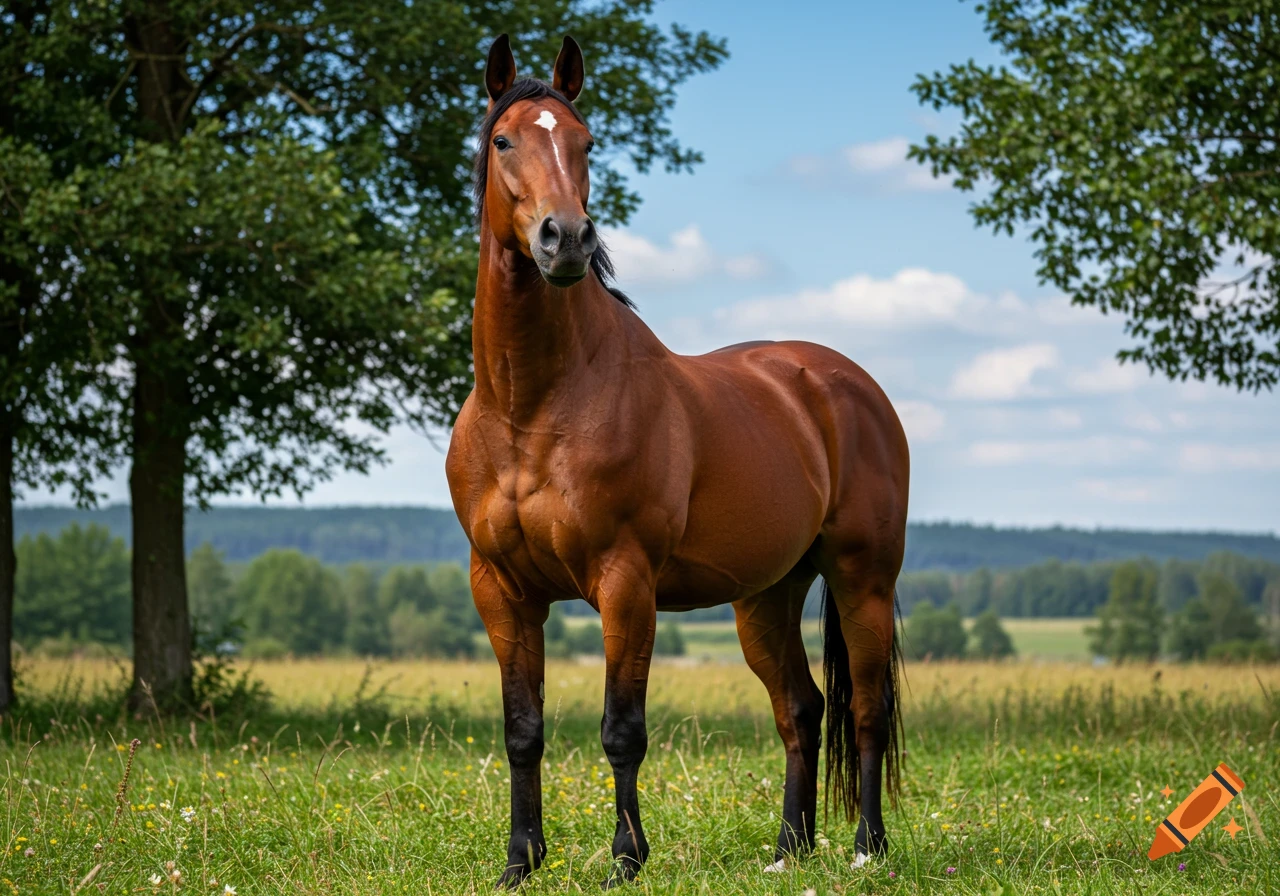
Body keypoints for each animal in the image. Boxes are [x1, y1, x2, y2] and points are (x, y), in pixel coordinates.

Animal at [446, 33, 909, 889]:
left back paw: (868, 846)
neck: (534, 405)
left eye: (587, 142)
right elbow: (523, 731)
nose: (566, 239)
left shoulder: (625, 584)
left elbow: (621, 729)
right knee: (801, 709)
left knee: (864, 708)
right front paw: (520, 863)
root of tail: (840, 384)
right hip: (766, 596)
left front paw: (625, 861)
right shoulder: (501, 591)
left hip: (862, 576)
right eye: (504, 142)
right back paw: (789, 849)